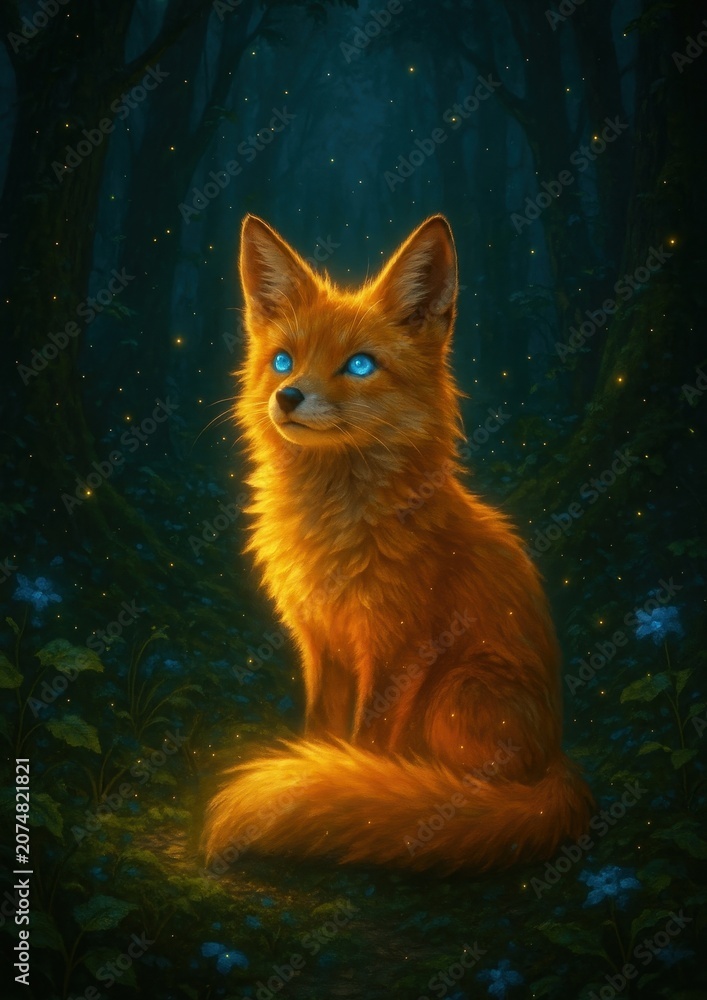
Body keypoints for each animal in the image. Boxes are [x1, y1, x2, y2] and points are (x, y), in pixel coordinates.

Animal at [203, 213, 593, 872]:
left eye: (360, 365)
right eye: (283, 361)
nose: (288, 396)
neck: (335, 528)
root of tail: (556, 765)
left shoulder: (397, 652)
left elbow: (363, 744)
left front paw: (350, 787)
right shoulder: (322, 645)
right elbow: (322, 735)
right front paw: (318, 772)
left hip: (454, 693)